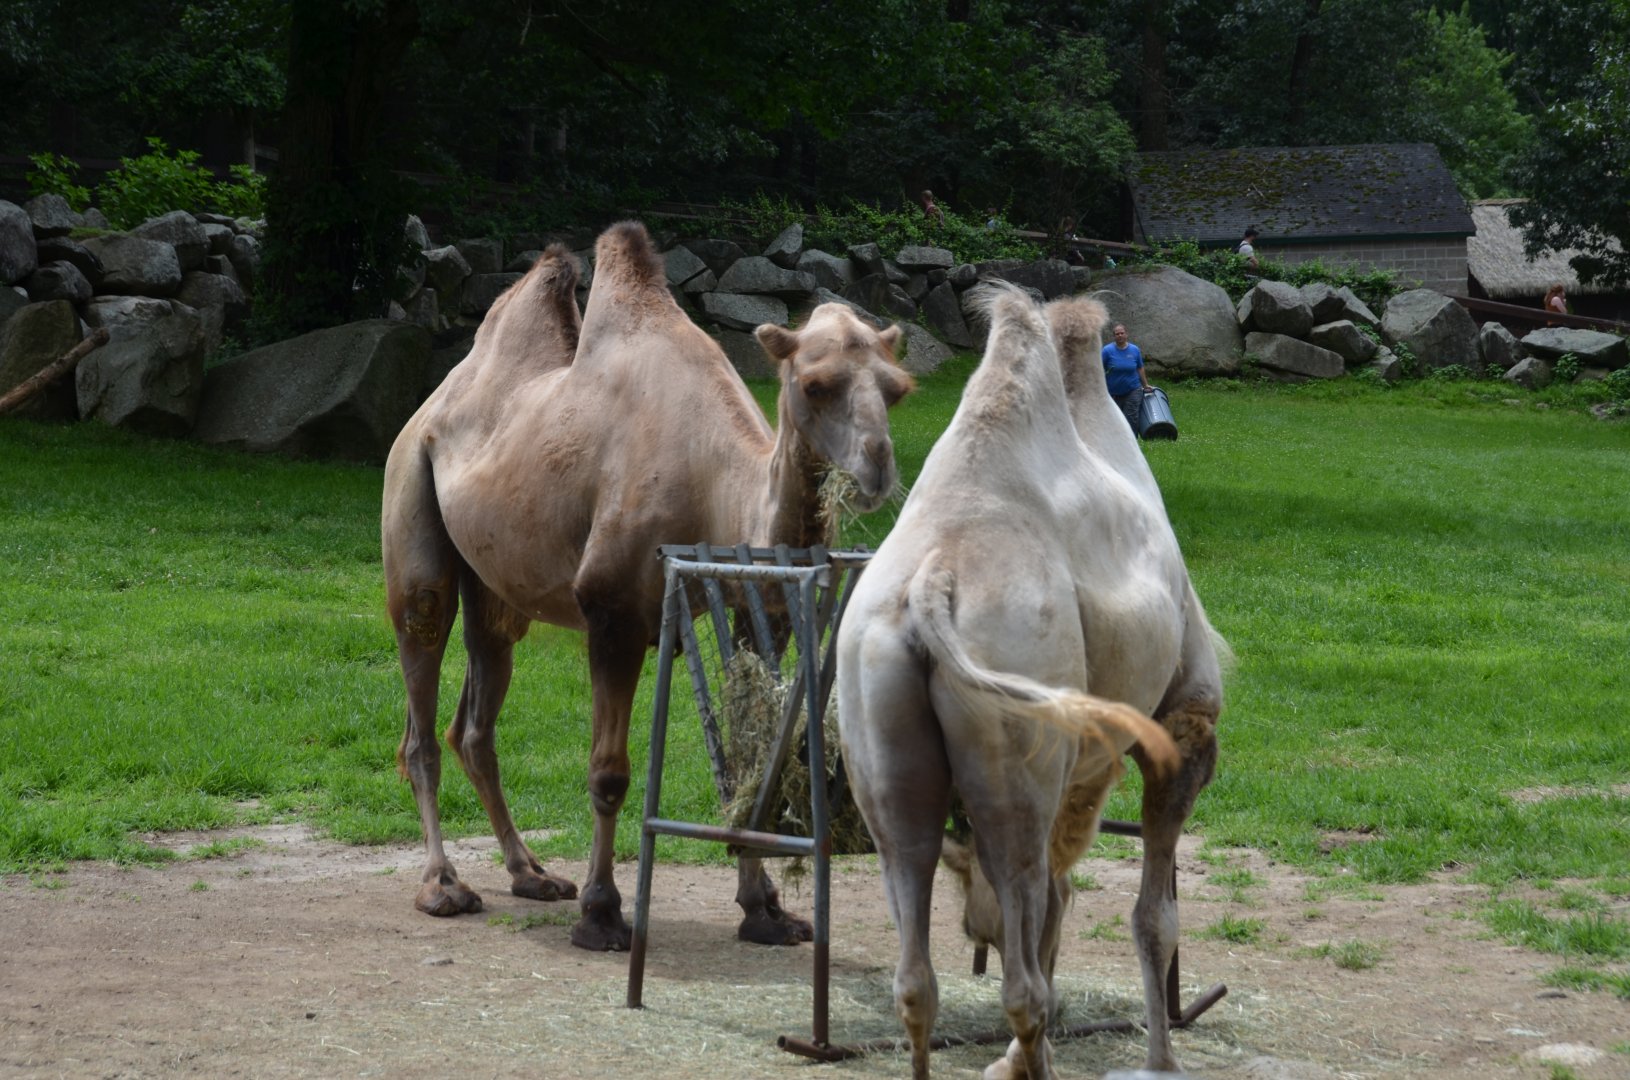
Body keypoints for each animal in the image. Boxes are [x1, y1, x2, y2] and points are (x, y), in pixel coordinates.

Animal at [381, 221, 914, 951]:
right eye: (815, 384)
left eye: (897, 389)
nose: (876, 468)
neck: (719, 487)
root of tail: (427, 409)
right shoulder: (614, 613)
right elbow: (608, 773)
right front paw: (603, 914)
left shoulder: (756, 610)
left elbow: (747, 761)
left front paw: (767, 910)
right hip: (412, 498)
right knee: (423, 691)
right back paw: (442, 886)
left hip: (497, 586)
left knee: (477, 719)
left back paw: (530, 873)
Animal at [834, 285, 1224, 1078]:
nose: (974, 926)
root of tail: (934, 582)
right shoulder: (1183, 723)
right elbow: (1150, 918)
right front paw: (1160, 1062)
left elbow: (1058, 904)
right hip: (1017, 744)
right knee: (1023, 977)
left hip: (880, 728)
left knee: (917, 973)